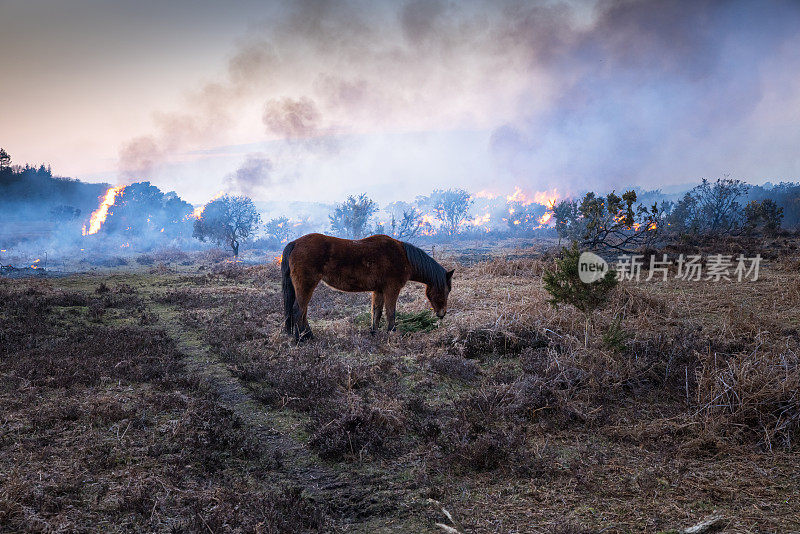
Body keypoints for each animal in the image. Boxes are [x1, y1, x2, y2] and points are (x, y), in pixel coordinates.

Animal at [282, 232, 456, 342]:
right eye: (446, 291)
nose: (442, 314)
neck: (403, 256)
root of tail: (295, 243)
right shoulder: (391, 289)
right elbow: (390, 312)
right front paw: (392, 333)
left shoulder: (378, 290)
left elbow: (376, 312)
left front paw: (374, 333)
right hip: (306, 284)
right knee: (298, 310)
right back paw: (300, 338)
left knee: (302, 311)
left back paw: (308, 335)